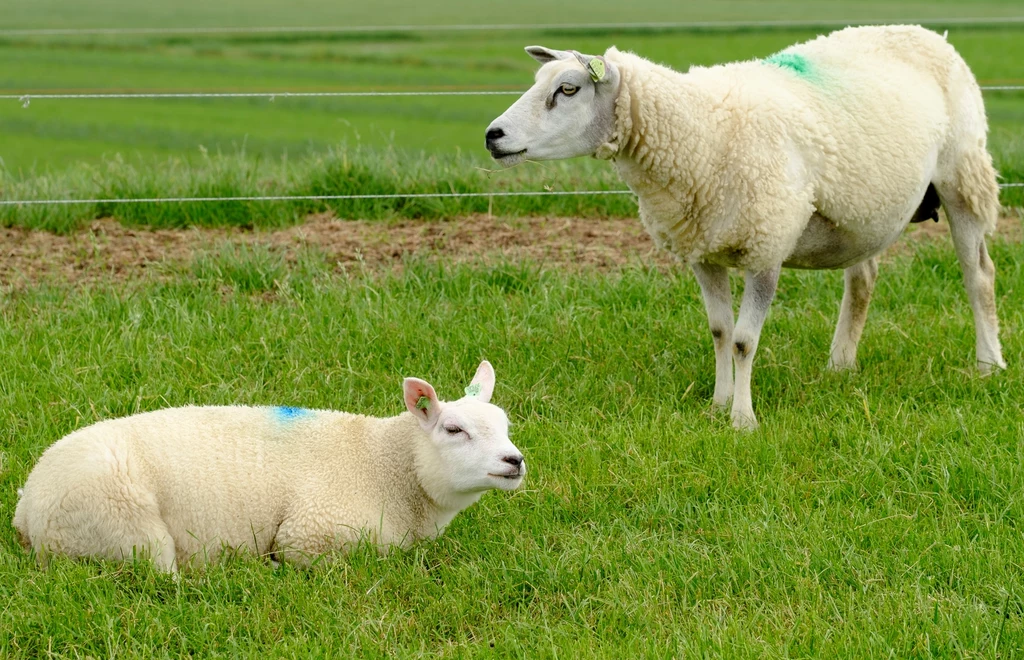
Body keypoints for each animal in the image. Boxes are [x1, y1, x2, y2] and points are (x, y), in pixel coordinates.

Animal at [14, 360, 528, 573]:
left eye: (504, 425)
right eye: (454, 429)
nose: (515, 461)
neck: (384, 464)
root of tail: (29, 504)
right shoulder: (310, 532)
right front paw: (275, 564)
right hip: (125, 525)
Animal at [485, 24, 1007, 427]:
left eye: (568, 89)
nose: (493, 135)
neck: (699, 129)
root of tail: (923, 32)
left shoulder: (766, 246)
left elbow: (742, 340)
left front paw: (742, 419)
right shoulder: (702, 249)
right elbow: (718, 330)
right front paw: (717, 406)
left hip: (962, 173)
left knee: (977, 275)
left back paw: (988, 364)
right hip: (865, 209)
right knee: (863, 279)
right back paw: (840, 365)